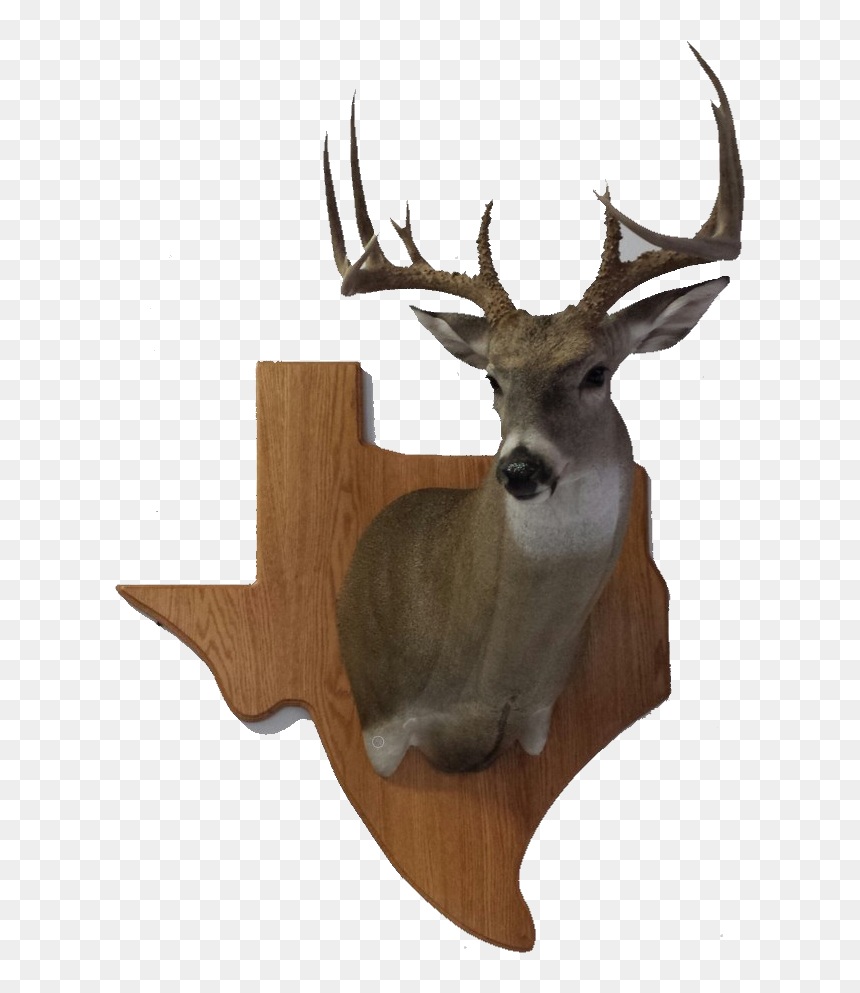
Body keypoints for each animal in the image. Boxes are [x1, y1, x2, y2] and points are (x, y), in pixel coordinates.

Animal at [324, 44, 743, 777]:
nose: (521, 468)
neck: (484, 686)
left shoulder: (540, 724)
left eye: (597, 373)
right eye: (492, 378)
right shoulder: (381, 730)